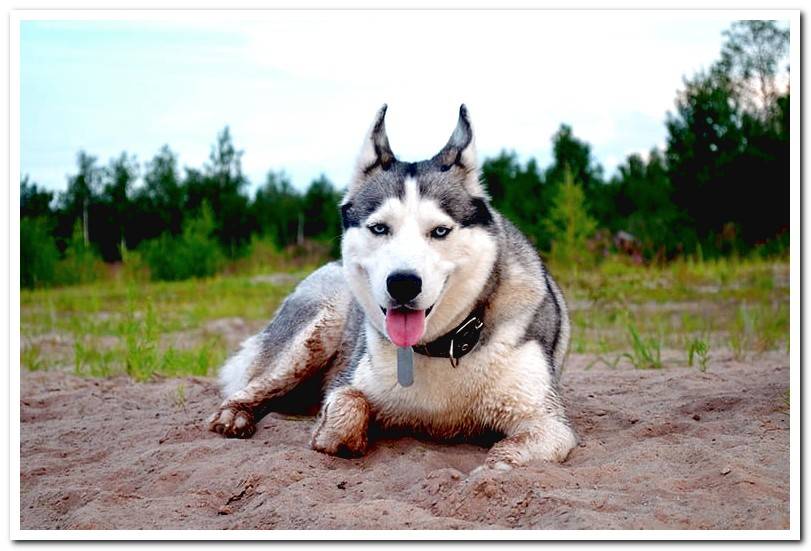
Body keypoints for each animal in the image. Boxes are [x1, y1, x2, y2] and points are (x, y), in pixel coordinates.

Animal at [209, 105, 576, 472]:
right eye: (379, 228)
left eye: (440, 231)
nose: (402, 283)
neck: (443, 346)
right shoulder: (348, 383)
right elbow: (347, 406)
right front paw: (336, 435)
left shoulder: (547, 422)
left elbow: (503, 461)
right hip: (316, 331)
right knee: (255, 385)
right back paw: (234, 415)